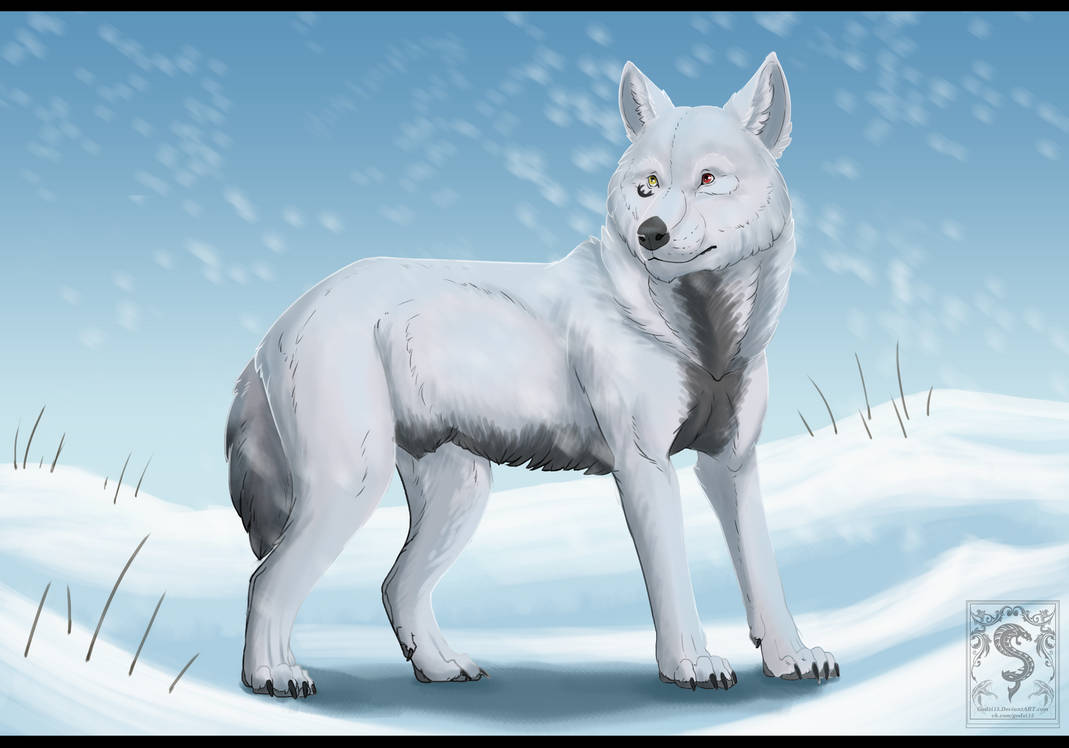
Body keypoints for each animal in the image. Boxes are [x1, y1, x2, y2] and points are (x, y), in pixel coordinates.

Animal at [225, 53, 837, 698]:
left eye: (709, 179)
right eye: (647, 186)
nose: (650, 232)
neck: (703, 339)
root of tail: (283, 318)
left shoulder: (732, 463)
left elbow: (764, 572)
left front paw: (791, 658)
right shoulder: (645, 467)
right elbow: (673, 577)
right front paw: (690, 664)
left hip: (460, 494)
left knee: (395, 586)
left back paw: (440, 666)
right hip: (352, 486)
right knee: (266, 581)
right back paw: (273, 674)